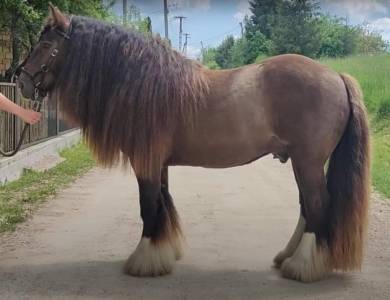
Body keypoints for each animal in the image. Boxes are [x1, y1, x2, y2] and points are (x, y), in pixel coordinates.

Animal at [18, 3, 370, 282]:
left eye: (45, 43)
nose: (20, 82)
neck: (144, 85)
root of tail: (336, 76)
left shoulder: (145, 163)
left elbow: (149, 206)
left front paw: (143, 261)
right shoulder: (157, 163)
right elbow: (162, 204)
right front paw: (163, 253)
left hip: (307, 161)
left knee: (317, 205)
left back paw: (303, 267)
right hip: (300, 162)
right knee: (306, 207)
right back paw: (288, 257)